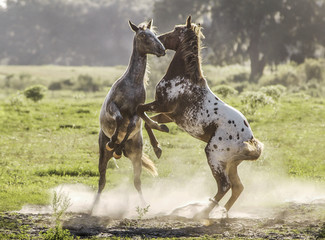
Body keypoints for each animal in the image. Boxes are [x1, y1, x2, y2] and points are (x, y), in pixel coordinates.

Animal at [137, 15, 264, 218]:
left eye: (176, 30)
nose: (161, 42)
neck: (184, 79)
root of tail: (249, 138)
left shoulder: (162, 105)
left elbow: (140, 111)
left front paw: (157, 146)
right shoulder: (169, 115)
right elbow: (149, 123)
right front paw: (158, 146)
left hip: (213, 155)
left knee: (225, 186)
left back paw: (203, 214)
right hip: (230, 163)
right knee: (237, 188)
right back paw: (221, 214)